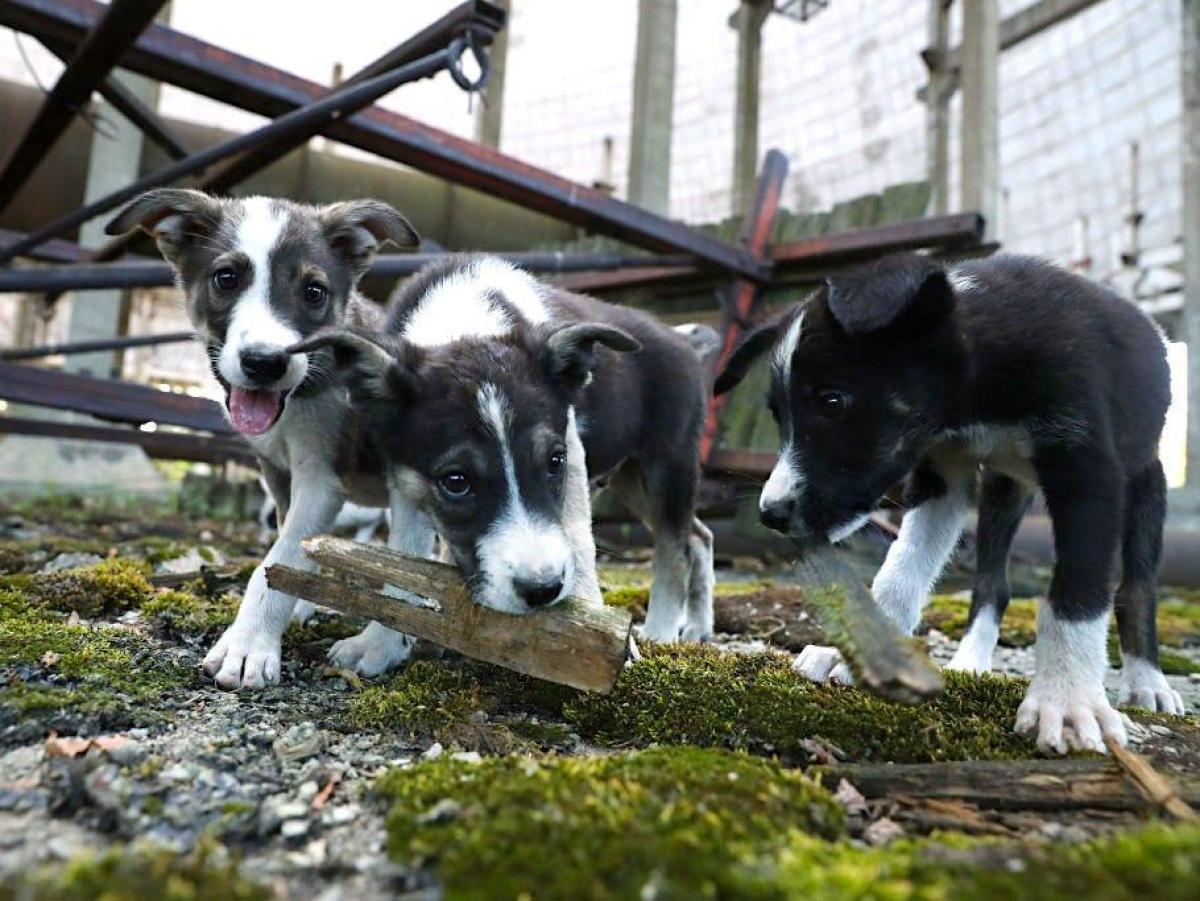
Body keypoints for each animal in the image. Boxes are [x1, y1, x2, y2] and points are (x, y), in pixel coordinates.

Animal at [104, 187, 422, 686]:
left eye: (314, 292)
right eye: (226, 278)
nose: (264, 363)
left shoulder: (320, 478)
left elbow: (277, 560)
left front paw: (248, 645)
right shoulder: (278, 473)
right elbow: (294, 549)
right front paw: (300, 604)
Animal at [296, 250, 715, 638]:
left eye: (554, 462)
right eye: (456, 481)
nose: (543, 591)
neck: (464, 319)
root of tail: (682, 338)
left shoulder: (573, 452)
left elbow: (579, 539)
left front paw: (598, 628)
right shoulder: (405, 473)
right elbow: (406, 548)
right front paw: (378, 647)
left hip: (668, 463)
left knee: (676, 549)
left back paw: (661, 632)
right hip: (630, 477)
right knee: (700, 536)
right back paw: (697, 626)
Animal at [710, 251, 1180, 753]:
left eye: (833, 401)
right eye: (778, 415)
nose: (771, 514)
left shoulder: (1089, 473)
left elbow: (1078, 591)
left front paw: (1069, 701)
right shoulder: (942, 474)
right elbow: (901, 572)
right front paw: (865, 654)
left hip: (1145, 481)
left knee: (1136, 588)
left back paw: (1147, 682)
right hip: (1002, 489)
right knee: (992, 583)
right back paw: (971, 661)